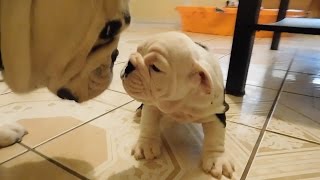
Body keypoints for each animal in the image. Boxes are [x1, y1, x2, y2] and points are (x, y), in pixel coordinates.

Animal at [121, 31, 234, 179]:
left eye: (156, 68)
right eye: (138, 50)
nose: (129, 64)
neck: (180, 101)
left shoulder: (216, 111)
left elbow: (216, 137)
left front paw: (216, 158)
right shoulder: (152, 105)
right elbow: (148, 124)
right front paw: (146, 144)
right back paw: (139, 111)